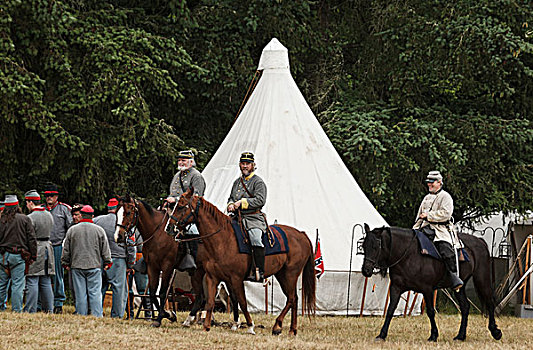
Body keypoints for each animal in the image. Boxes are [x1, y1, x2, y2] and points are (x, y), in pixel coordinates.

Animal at [167, 189, 316, 334]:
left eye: (181, 206)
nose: (168, 228)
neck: (223, 240)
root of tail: (301, 234)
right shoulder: (212, 277)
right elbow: (210, 302)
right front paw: (206, 326)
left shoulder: (236, 279)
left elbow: (242, 302)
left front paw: (250, 326)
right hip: (282, 275)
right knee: (293, 299)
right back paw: (291, 329)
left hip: (290, 274)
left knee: (292, 298)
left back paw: (279, 326)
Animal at [360, 224, 500, 342]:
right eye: (363, 246)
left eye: (375, 247)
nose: (366, 270)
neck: (408, 254)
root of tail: (480, 241)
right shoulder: (396, 288)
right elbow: (390, 310)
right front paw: (381, 335)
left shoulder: (427, 289)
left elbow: (431, 311)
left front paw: (433, 335)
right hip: (460, 287)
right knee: (465, 307)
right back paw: (460, 336)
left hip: (482, 279)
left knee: (490, 302)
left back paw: (495, 332)